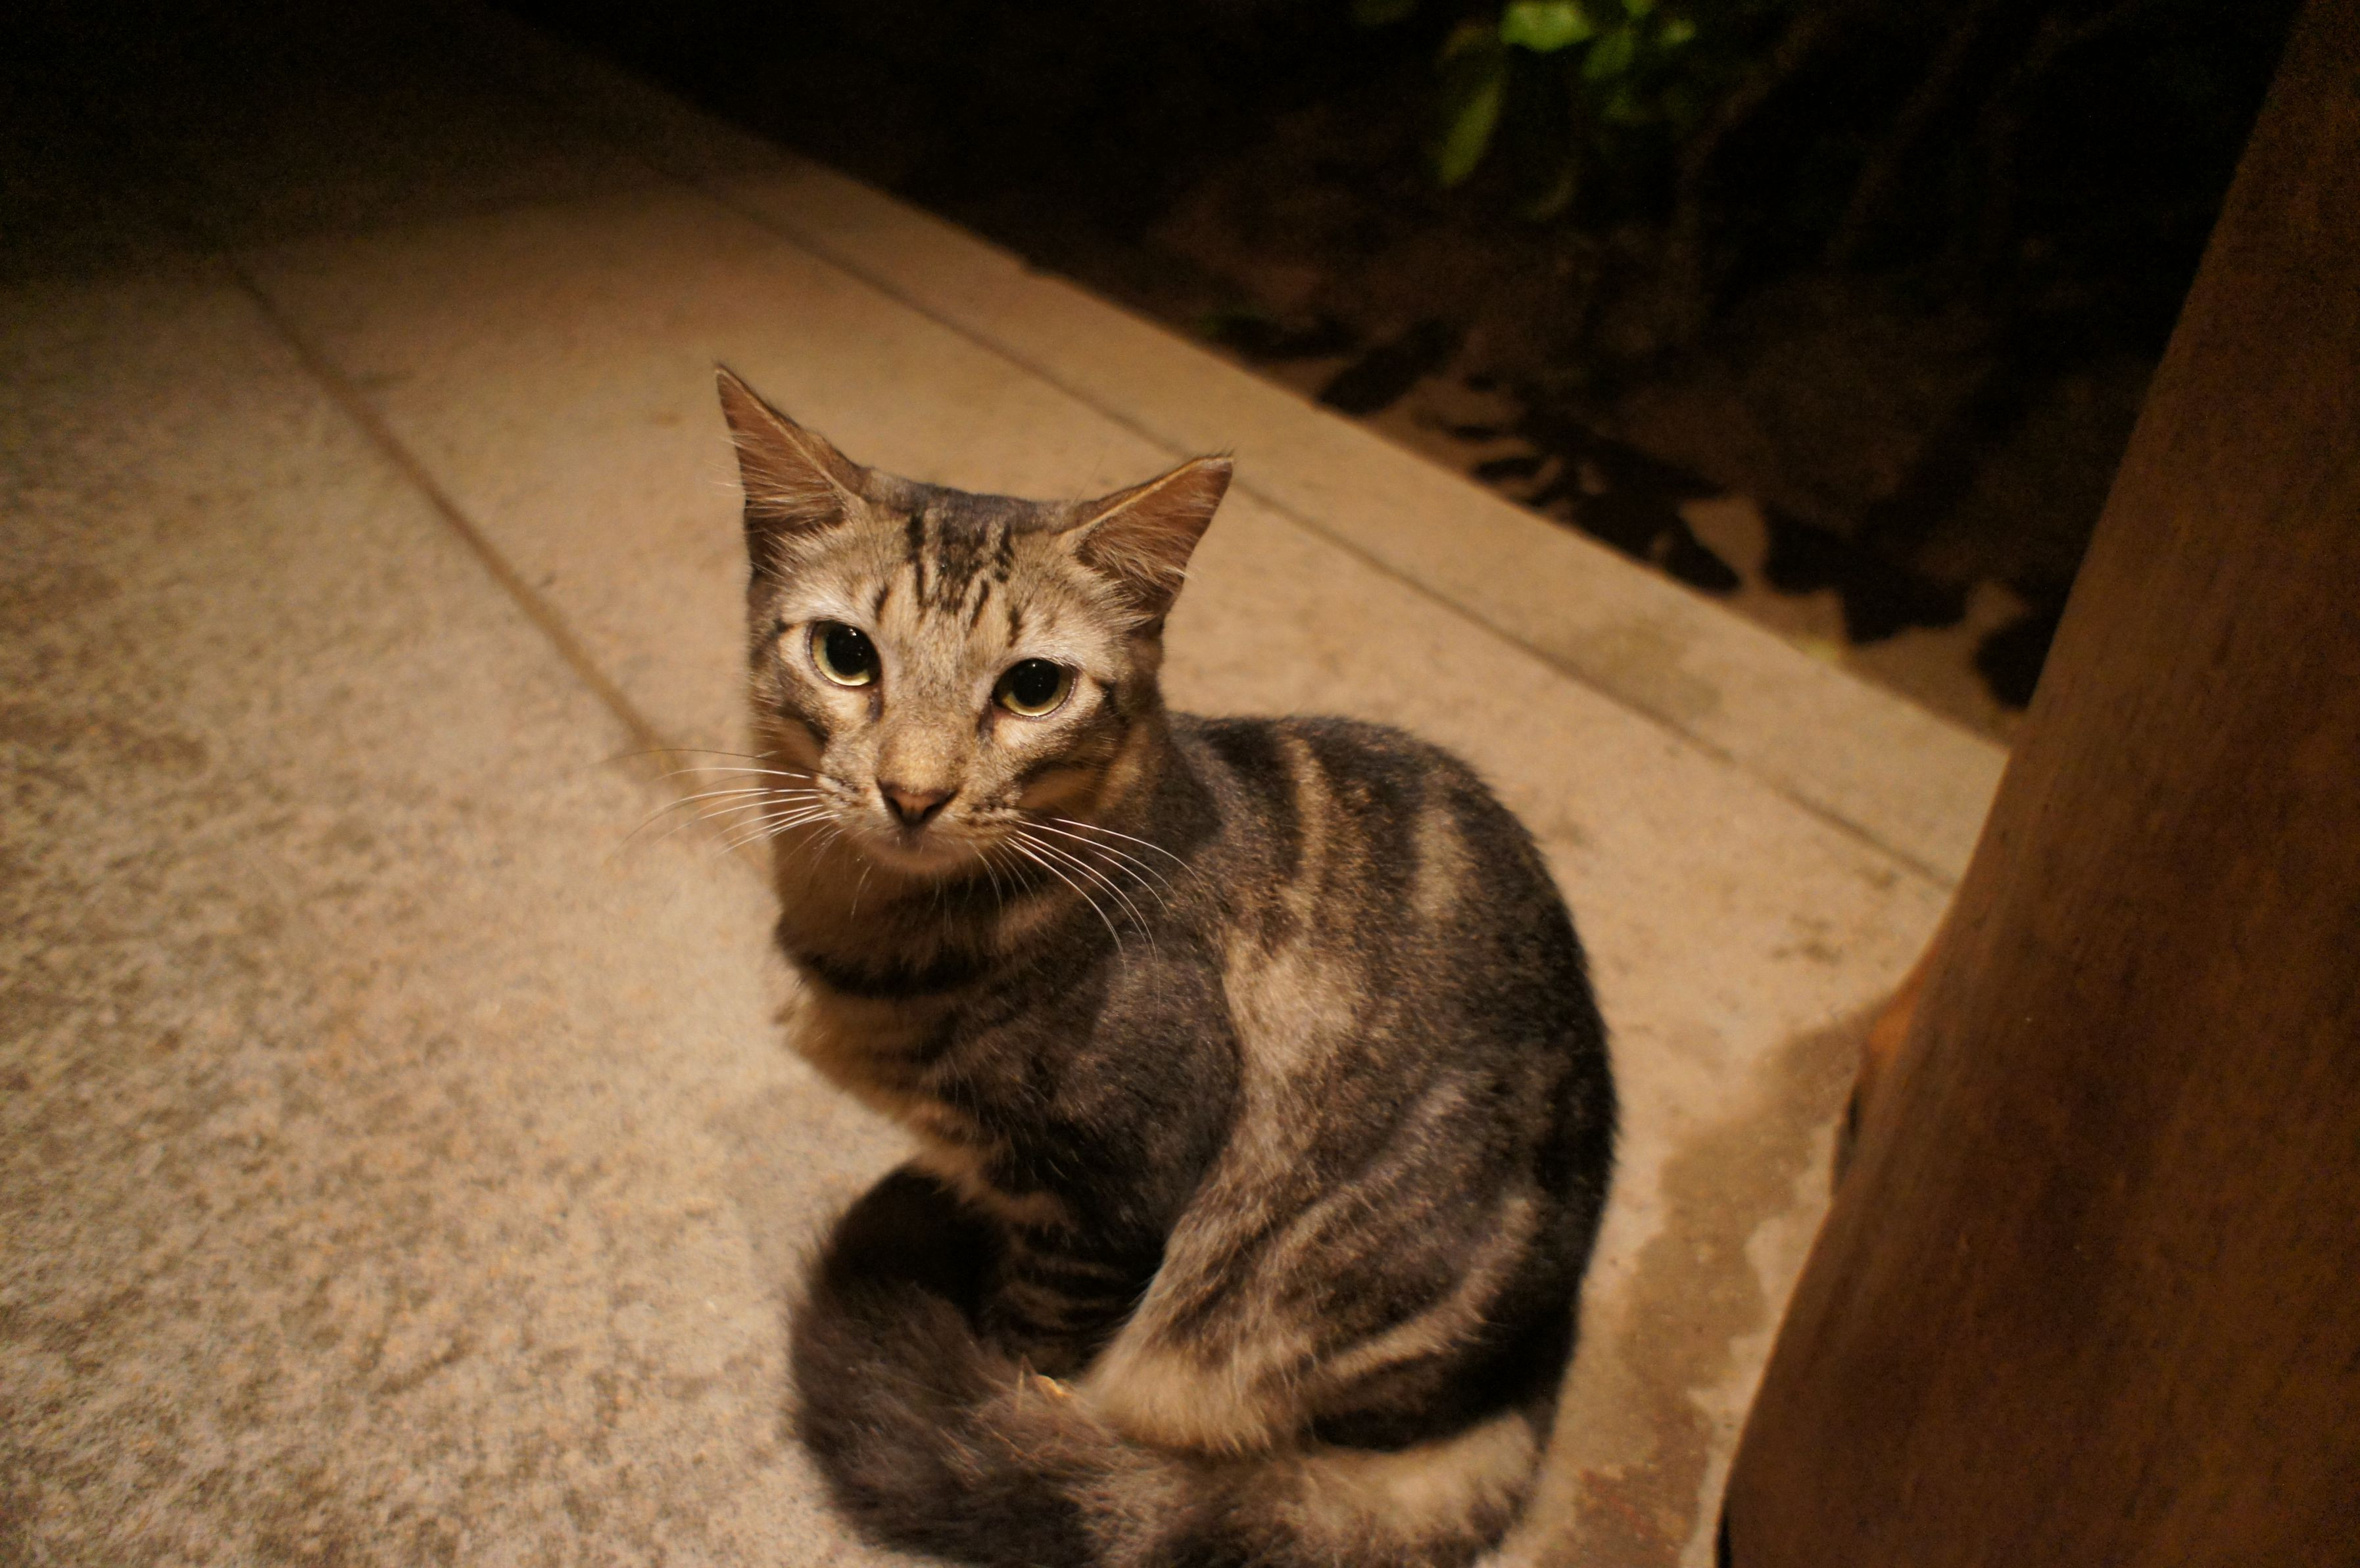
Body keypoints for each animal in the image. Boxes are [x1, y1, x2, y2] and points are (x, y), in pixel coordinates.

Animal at [715, 367, 1617, 1568]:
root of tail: (1523, 1388)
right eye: (846, 655)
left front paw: (1003, 1397)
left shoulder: (1110, 1204)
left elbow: (1027, 1352)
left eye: (1032, 688)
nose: (913, 793)